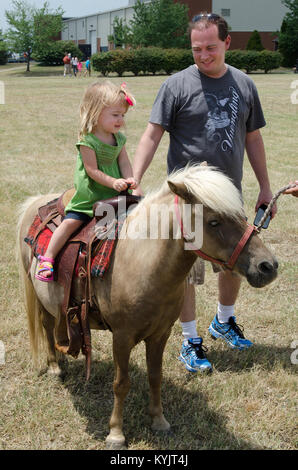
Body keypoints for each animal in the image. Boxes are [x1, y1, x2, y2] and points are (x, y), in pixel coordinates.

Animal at [16, 165, 278, 448]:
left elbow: (155, 376)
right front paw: (116, 433)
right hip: (39, 297)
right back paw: (54, 366)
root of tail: (39, 202)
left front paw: (159, 421)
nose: (268, 266)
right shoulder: (122, 337)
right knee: (46, 326)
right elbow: (121, 383)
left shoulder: (160, 334)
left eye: (242, 215)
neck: (141, 260)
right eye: (214, 222)